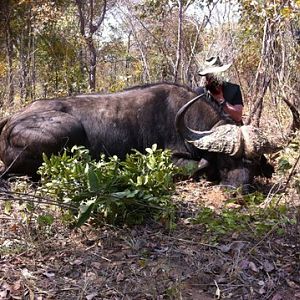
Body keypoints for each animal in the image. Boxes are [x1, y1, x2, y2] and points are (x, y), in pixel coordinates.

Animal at [0, 81, 286, 186]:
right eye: (227, 160)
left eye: (252, 163)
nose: (239, 189)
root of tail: (9, 123)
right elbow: (200, 165)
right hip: (68, 130)